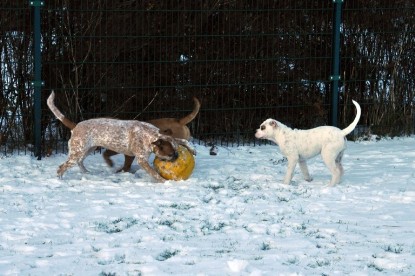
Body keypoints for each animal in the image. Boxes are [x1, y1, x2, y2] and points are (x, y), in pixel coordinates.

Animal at [48, 90, 197, 181]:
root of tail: (75, 126)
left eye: (176, 151)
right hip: (77, 152)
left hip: (87, 150)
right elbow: (154, 173)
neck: (150, 136)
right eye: (171, 154)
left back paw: (86, 172)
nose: (177, 156)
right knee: (62, 167)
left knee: (79, 162)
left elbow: (182, 140)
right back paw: (60, 180)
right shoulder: (141, 160)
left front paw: (193, 149)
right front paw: (164, 182)